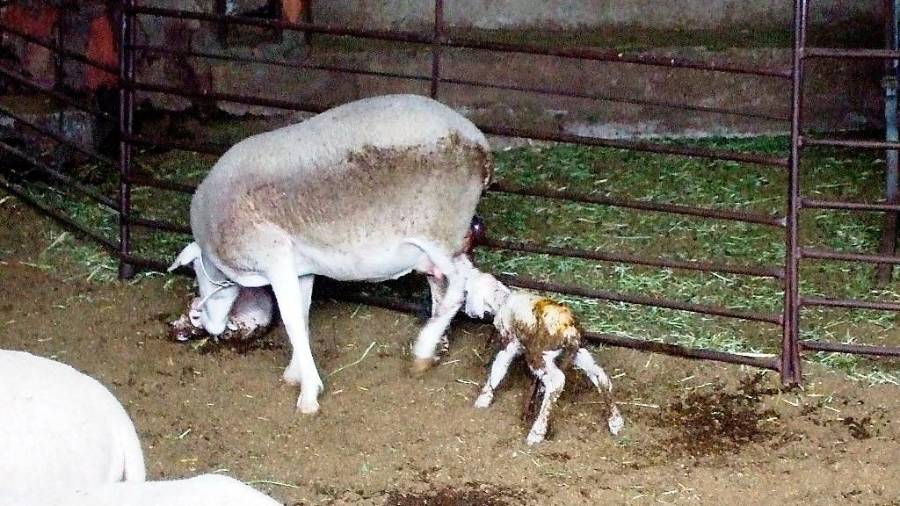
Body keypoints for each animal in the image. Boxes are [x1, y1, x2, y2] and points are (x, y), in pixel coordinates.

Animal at [169, 95, 492, 416]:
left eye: (195, 270)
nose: (210, 326)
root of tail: (481, 145)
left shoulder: (276, 259)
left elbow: (292, 322)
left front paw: (309, 395)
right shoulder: (301, 269)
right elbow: (302, 317)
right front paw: (296, 374)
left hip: (441, 230)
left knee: (459, 284)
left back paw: (423, 351)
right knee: (445, 285)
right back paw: (436, 344)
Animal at [464, 266, 624, 444]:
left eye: (468, 292)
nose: (467, 311)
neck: (502, 300)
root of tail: (569, 331)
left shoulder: (509, 341)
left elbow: (499, 367)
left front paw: (484, 397)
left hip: (539, 354)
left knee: (557, 381)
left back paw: (537, 431)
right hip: (578, 351)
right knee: (600, 376)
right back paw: (615, 421)